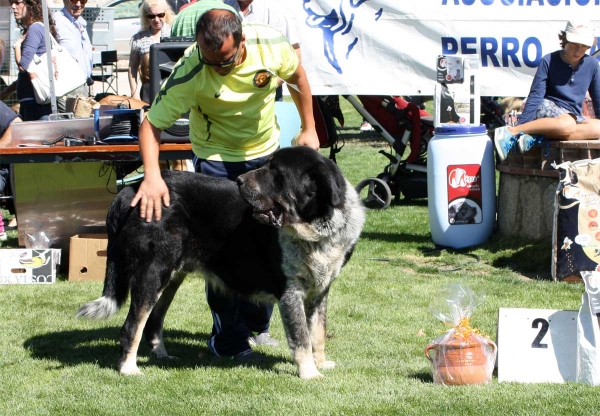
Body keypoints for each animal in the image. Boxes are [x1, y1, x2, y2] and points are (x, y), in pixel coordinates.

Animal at [75, 148, 366, 378]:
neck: (317, 227)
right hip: (153, 273)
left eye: (275, 171)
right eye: (267, 165)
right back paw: (128, 369)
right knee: (131, 326)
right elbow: (301, 338)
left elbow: (317, 332)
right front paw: (309, 373)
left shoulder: (319, 291)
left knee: (153, 320)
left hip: (169, 277)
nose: (239, 180)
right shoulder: (290, 292)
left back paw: (161, 355)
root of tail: (132, 189)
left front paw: (321, 363)